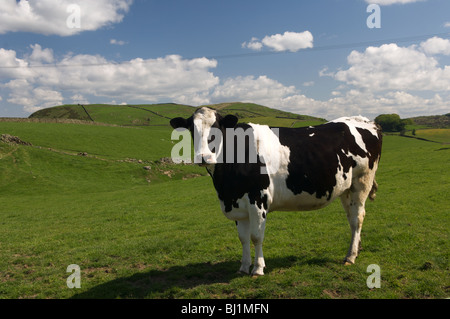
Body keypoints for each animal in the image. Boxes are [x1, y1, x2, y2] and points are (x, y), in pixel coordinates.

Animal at [171, 107, 382, 278]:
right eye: (191, 129)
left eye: (217, 127)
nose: (203, 157)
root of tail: (366, 121)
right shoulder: (238, 204)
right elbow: (243, 238)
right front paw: (243, 267)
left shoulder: (258, 199)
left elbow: (256, 237)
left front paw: (257, 269)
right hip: (346, 188)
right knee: (352, 218)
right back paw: (356, 249)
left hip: (362, 182)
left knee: (357, 218)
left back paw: (350, 256)